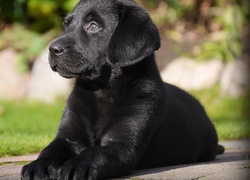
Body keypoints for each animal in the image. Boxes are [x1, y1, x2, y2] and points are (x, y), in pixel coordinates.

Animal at [21, 0, 224, 179]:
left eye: (93, 26)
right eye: (67, 25)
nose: (52, 49)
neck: (101, 90)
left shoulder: (123, 145)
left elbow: (96, 153)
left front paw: (76, 165)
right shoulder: (68, 138)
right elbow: (49, 150)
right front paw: (37, 166)